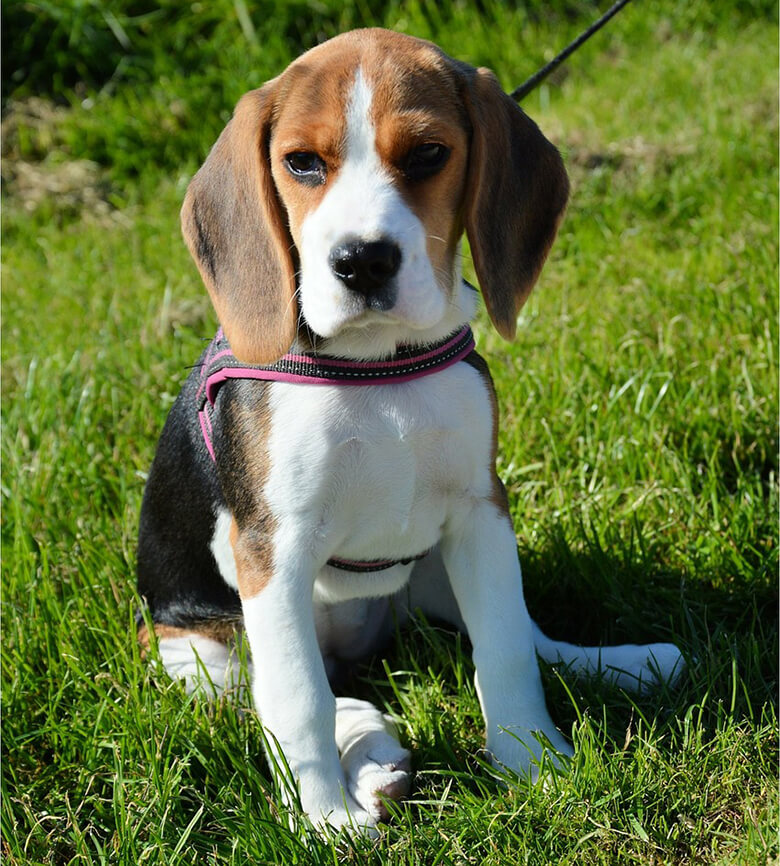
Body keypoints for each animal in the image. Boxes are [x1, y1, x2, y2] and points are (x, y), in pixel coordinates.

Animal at [137, 30, 684, 832]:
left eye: (428, 154)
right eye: (302, 162)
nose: (362, 262)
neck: (379, 370)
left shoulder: (481, 514)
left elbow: (507, 649)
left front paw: (535, 763)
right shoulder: (272, 550)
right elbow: (295, 699)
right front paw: (322, 820)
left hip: (432, 566)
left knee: (529, 636)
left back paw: (625, 662)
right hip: (205, 650)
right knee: (287, 693)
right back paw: (368, 753)